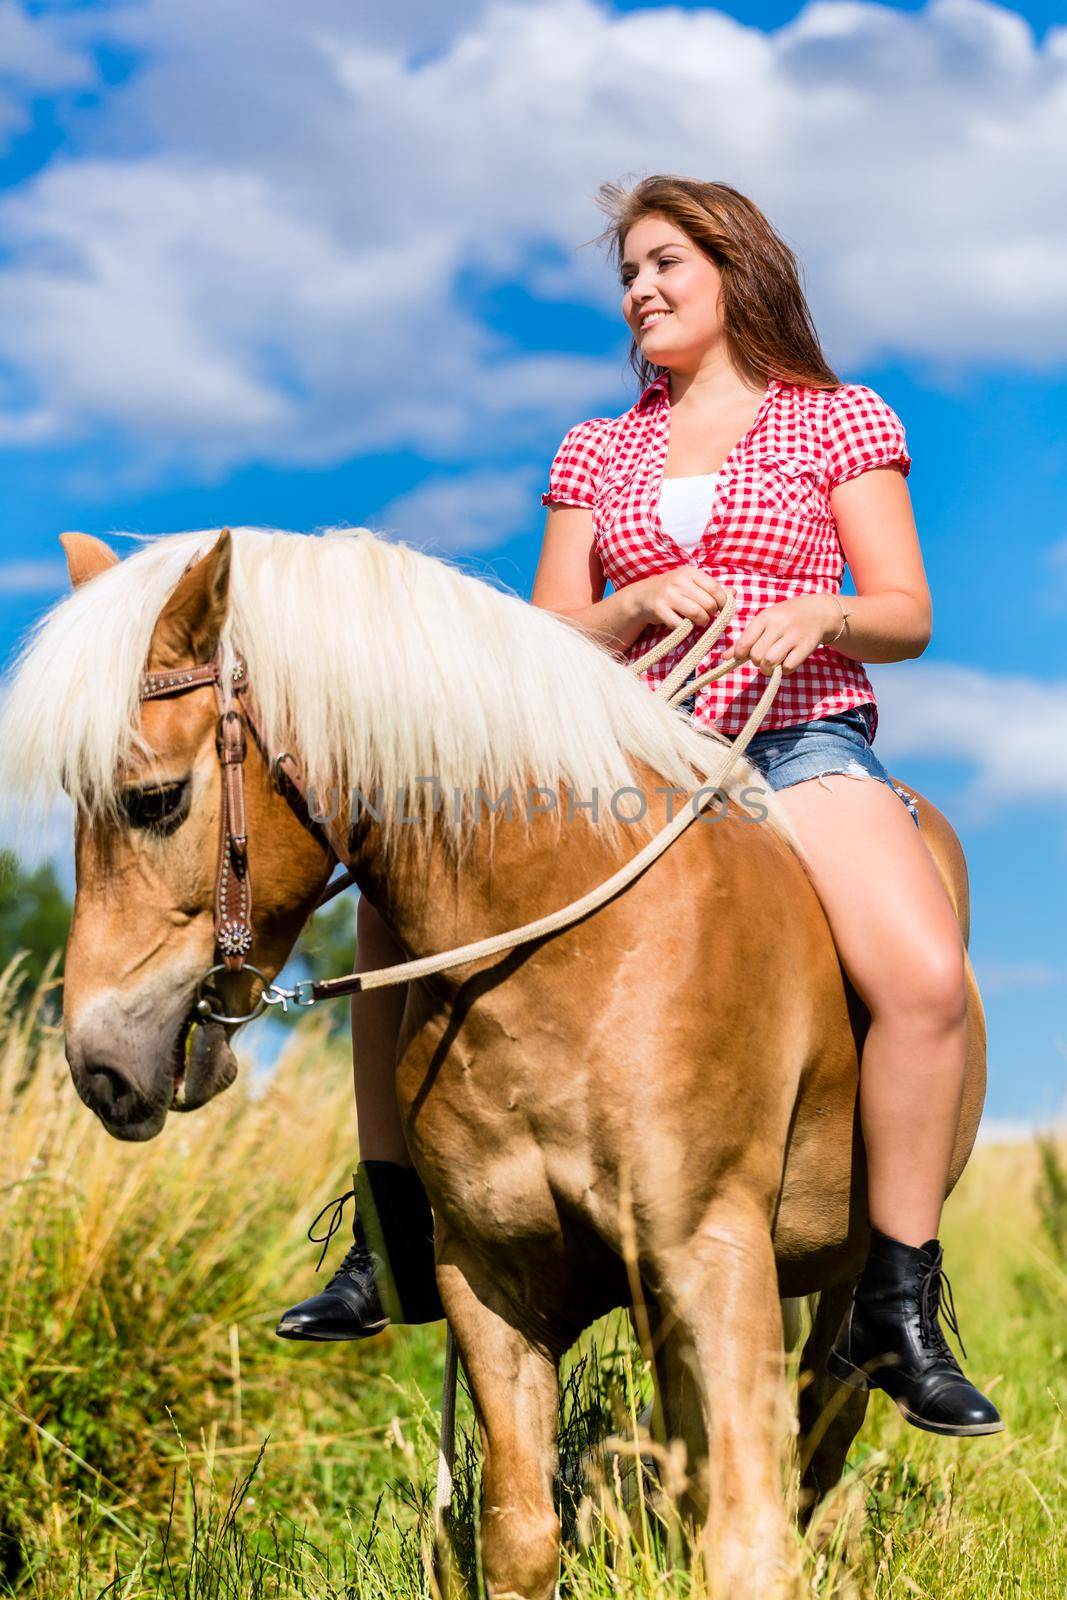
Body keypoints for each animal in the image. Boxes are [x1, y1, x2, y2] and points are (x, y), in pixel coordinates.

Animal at [0, 528, 991, 1600]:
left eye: (155, 800)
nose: (100, 1064)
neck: (576, 947)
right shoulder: (491, 1282)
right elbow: (520, 1538)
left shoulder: (714, 1256)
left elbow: (749, 1541)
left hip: (840, 1289)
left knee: (824, 1424)